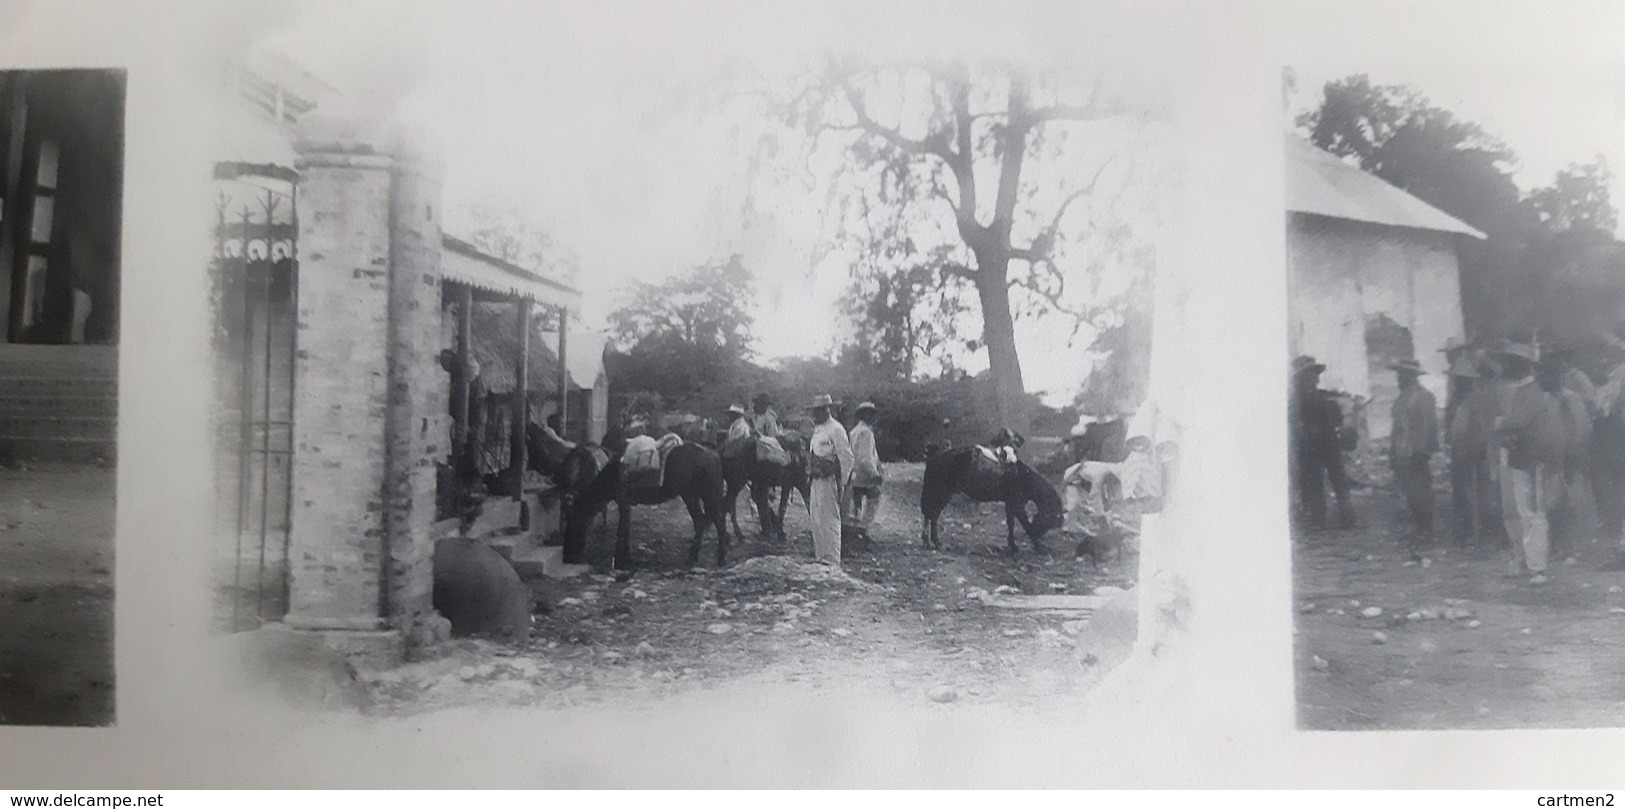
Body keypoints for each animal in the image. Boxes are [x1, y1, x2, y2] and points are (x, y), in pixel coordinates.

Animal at [565, 441, 731, 568]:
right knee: (707, 520)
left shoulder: (623, 501)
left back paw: (718, 558)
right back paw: (698, 557)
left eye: (573, 523)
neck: (612, 475)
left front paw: (622, 560)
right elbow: (625, 529)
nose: (568, 558)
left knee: (713, 521)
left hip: (698, 496)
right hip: (702, 496)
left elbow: (622, 530)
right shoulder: (625, 503)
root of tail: (715, 456)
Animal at [923, 445, 1072, 552]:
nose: (1040, 535)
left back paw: (929, 541)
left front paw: (1013, 545)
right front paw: (1034, 545)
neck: (1025, 477)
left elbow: (1011, 524)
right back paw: (935, 542)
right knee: (932, 515)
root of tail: (935, 457)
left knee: (931, 515)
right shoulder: (1016, 505)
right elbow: (1023, 523)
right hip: (941, 493)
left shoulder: (1010, 505)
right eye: (1048, 522)